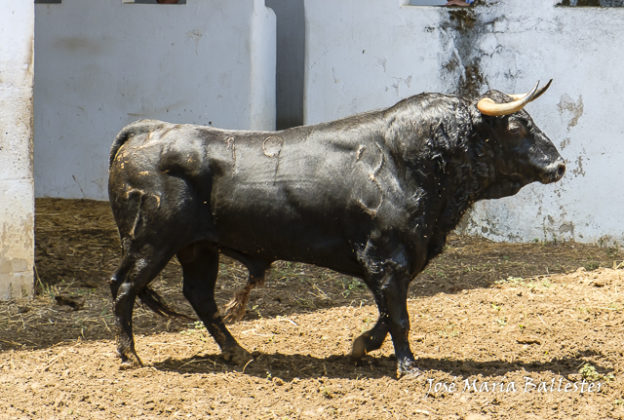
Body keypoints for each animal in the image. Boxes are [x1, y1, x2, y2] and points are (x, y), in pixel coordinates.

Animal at [107, 81, 564, 374]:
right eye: (518, 125)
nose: (559, 164)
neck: (408, 161)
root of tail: (147, 130)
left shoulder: (399, 259)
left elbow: (387, 313)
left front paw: (362, 347)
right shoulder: (385, 256)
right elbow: (399, 316)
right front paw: (409, 367)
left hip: (197, 248)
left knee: (200, 297)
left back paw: (237, 352)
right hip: (150, 243)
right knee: (125, 288)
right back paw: (130, 357)